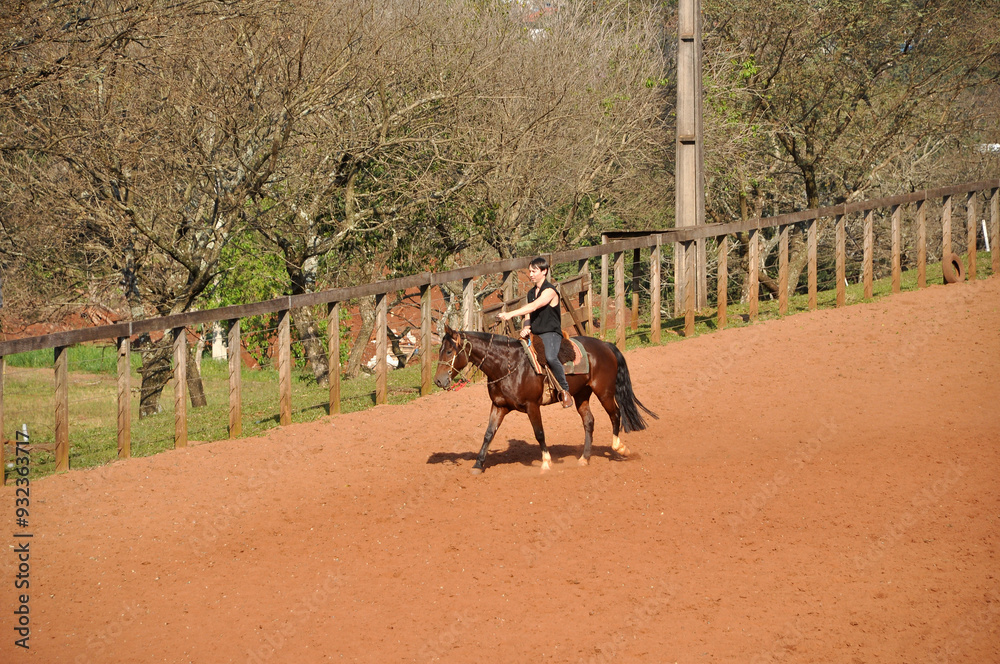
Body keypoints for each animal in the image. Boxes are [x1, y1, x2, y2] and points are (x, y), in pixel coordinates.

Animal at [433, 325, 657, 474]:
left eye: (450, 351)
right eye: (440, 350)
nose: (438, 380)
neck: (508, 365)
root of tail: (605, 345)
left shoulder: (532, 406)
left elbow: (539, 433)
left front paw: (546, 462)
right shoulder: (498, 406)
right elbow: (488, 434)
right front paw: (478, 464)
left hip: (605, 392)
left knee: (615, 415)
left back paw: (619, 448)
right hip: (581, 394)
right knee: (589, 421)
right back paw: (584, 458)